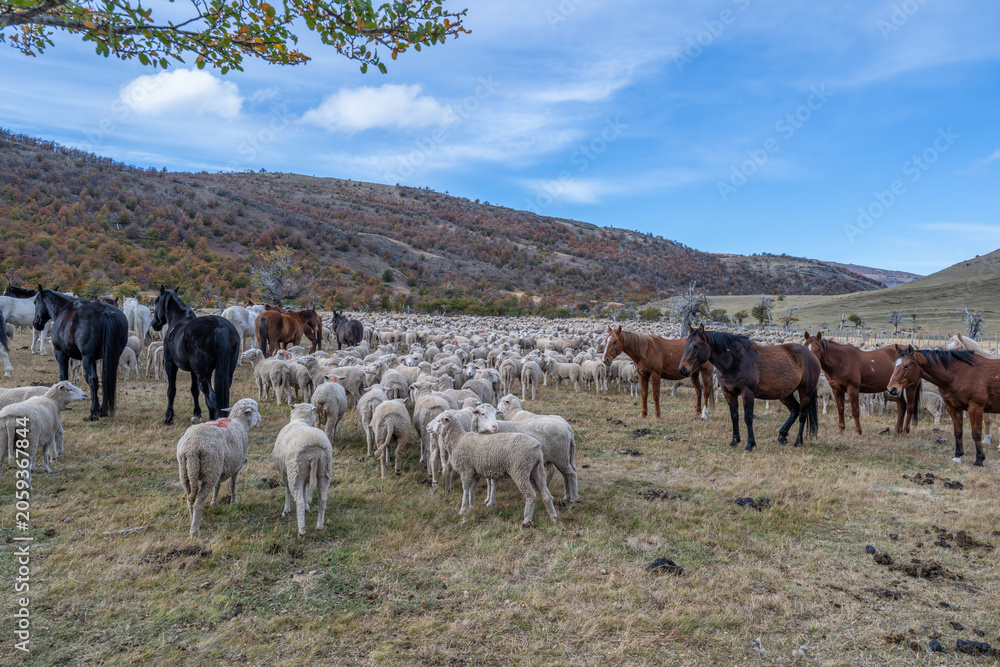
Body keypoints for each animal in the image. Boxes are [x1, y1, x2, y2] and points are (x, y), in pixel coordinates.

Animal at [175, 398, 262, 536]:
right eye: (255, 410)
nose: (260, 419)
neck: (240, 422)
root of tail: (192, 449)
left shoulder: (220, 469)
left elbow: (218, 486)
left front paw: (214, 502)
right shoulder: (237, 466)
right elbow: (232, 485)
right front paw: (233, 502)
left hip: (187, 471)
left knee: (190, 499)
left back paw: (192, 519)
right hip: (210, 470)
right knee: (198, 502)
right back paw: (195, 530)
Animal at [272, 403, 334, 537]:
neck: (300, 420)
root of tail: (315, 453)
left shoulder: (284, 472)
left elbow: (287, 490)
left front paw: (286, 510)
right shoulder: (306, 476)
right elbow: (305, 490)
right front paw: (307, 507)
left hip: (295, 472)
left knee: (298, 500)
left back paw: (302, 530)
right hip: (324, 471)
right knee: (322, 499)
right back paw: (319, 526)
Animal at [426, 411, 557, 525]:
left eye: (439, 420)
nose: (427, 426)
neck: (457, 440)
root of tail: (537, 447)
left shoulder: (466, 471)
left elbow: (465, 490)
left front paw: (463, 509)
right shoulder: (475, 472)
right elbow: (472, 490)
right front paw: (472, 507)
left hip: (520, 470)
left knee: (531, 495)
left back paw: (527, 519)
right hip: (535, 470)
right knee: (546, 494)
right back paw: (553, 517)